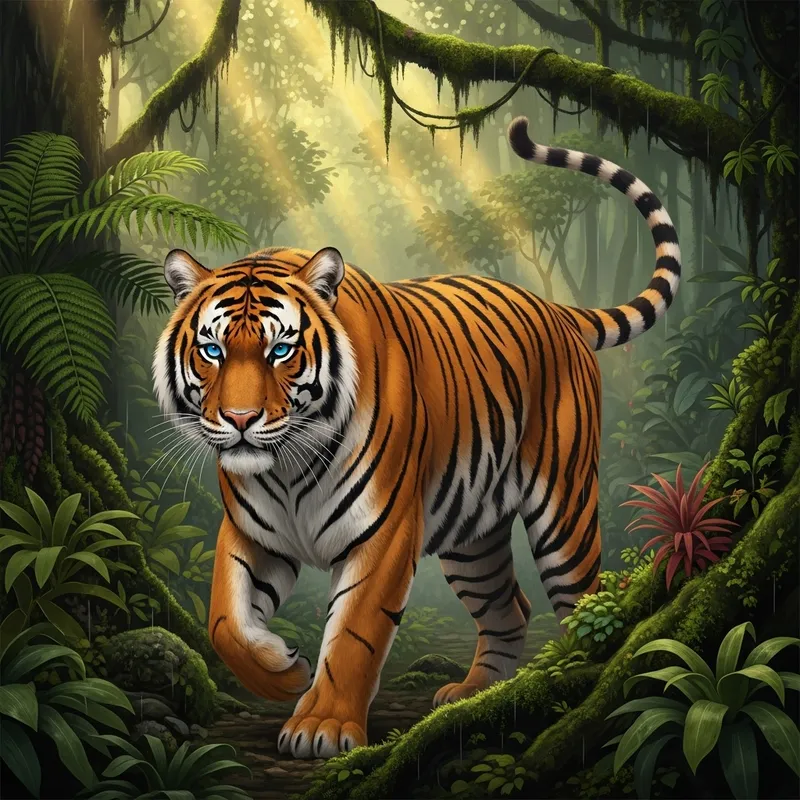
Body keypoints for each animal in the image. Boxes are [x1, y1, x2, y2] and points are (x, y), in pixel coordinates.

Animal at [152, 116, 681, 759]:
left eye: (280, 350)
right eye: (212, 350)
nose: (240, 418)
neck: (287, 467)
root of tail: (557, 309)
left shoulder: (382, 536)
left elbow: (353, 633)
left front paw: (322, 724)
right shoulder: (253, 534)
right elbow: (224, 622)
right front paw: (283, 670)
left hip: (565, 513)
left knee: (586, 602)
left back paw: (576, 680)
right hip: (471, 538)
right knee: (510, 609)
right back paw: (473, 696)